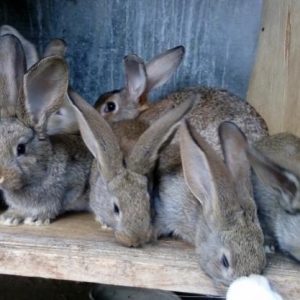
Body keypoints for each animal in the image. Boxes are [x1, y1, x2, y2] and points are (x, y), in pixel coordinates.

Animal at [0, 34, 92, 225]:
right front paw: (11, 216)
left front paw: (39, 219)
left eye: (21, 148)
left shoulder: (72, 184)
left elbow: (57, 205)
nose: (1, 177)